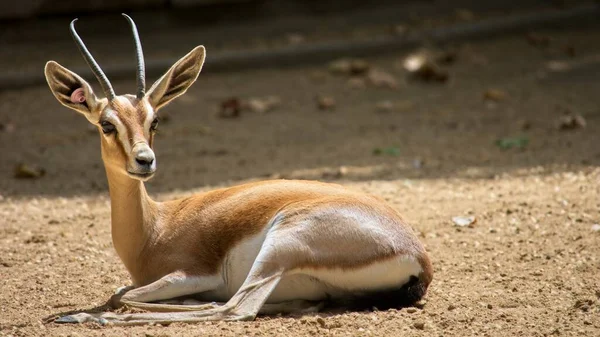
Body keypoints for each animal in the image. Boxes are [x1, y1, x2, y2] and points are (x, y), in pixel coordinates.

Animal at [44, 14, 434, 324]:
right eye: (106, 124)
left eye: (155, 120)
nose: (145, 160)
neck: (153, 229)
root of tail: (417, 256)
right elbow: (122, 290)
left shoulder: (196, 274)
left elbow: (122, 294)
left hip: (281, 244)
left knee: (234, 307)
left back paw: (87, 318)